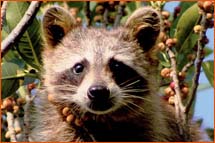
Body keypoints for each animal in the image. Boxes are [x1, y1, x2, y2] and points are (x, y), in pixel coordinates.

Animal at [28, 6, 203, 141]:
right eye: (78, 68)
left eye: (117, 66)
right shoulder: (58, 128)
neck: (101, 119)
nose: (98, 91)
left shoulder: (154, 125)